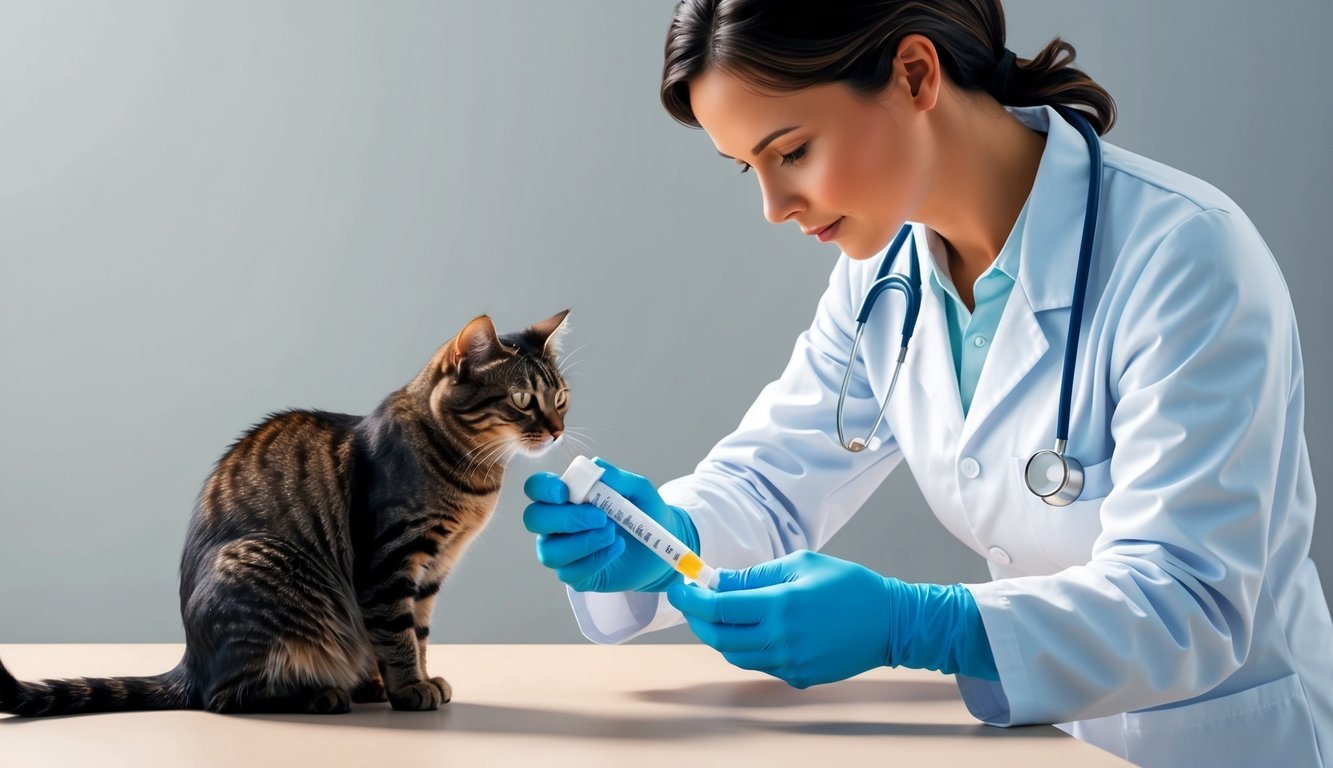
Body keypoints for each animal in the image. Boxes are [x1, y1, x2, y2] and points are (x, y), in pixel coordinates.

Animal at [0, 309, 567, 714]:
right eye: (522, 399)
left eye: (561, 397)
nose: (559, 429)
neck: (473, 477)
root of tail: (190, 662)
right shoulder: (391, 560)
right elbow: (398, 633)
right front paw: (410, 688)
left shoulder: (431, 570)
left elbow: (418, 633)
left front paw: (419, 679)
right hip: (269, 569)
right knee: (224, 698)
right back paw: (321, 695)